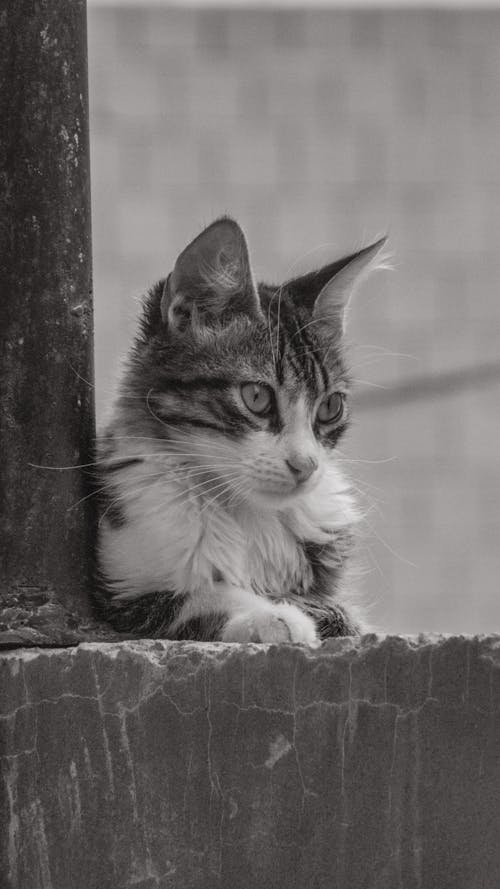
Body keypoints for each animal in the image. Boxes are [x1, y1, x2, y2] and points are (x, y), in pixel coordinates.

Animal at [94, 218, 386, 640]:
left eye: (330, 407)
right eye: (257, 397)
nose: (306, 466)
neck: (247, 513)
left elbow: (343, 612)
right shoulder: (121, 594)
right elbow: (204, 594)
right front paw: (272, 617)